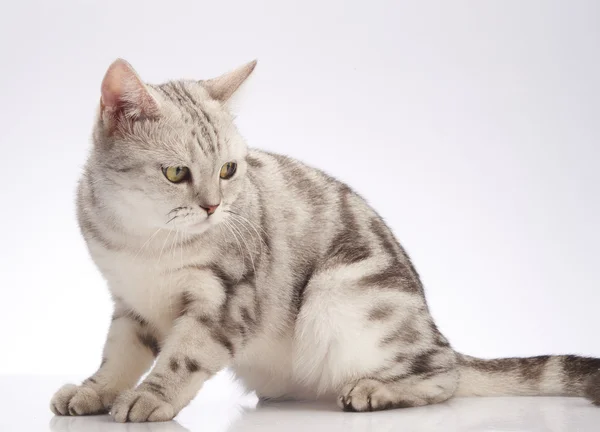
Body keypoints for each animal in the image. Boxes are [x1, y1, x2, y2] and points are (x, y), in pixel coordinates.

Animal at [49, 58, 596, 422]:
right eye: (175, 172)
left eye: (228, 170)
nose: (213, 207)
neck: (143, 240)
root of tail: (435, 329)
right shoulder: (130, 303)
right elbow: (117, 356)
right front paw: (94, 391)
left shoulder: (225, 302)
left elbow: (183, 357)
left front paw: (151, 398)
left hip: (339, 296)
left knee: (444, 375)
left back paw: (375, 390)